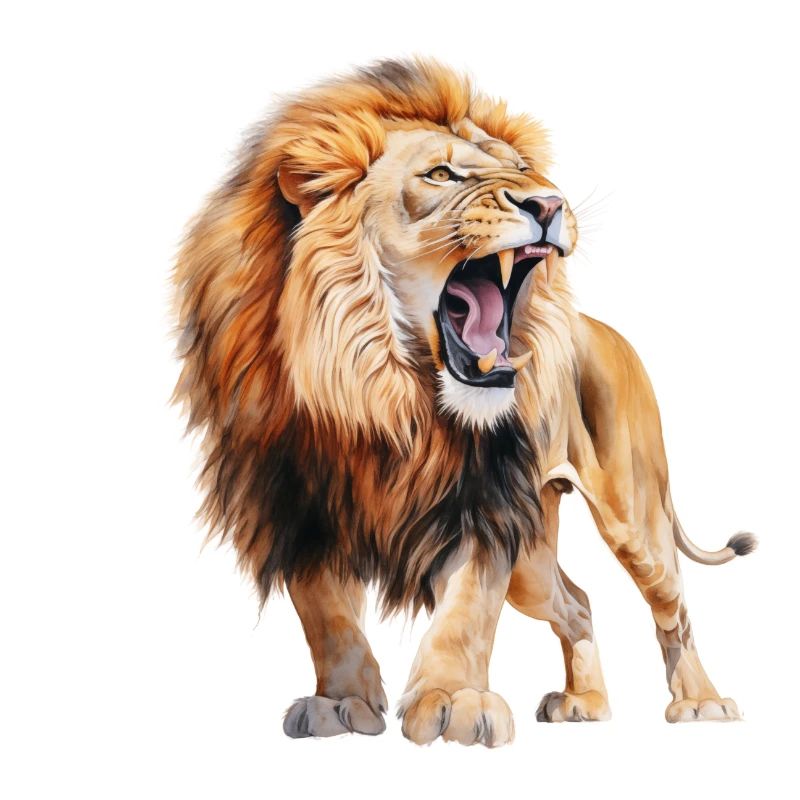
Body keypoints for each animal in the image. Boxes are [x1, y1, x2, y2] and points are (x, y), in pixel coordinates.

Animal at [173, 58, 756, 746]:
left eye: (523, 169)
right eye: (441, 175)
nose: (549, 202)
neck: (385, 398)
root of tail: (603, 329)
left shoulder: (487, 502)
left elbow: (467, 609)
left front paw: (454, 700)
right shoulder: (295, 505)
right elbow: (327, 617)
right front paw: (341, 704)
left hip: (632, 517)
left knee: (675, 604)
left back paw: (701, 702)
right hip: (535, 560)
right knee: (577, 602)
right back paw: (584, 702)